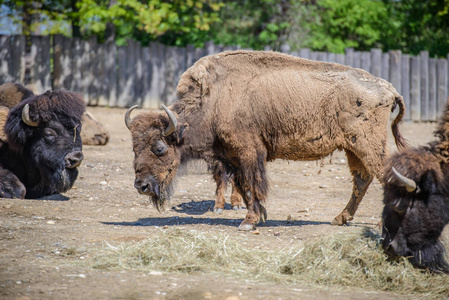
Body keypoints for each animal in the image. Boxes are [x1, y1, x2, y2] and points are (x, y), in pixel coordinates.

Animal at [123, 50, 406, 231]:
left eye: (159, 148)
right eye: (134, 149)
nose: (141, 185)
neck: (215, 99)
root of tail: (388, 88)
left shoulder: (249, 153)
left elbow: (252, 184)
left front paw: (248, 222)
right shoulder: (232, 157)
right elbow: (243, 186)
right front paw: (258, 216)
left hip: (367, 144)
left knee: (382, 175)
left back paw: (380, 225)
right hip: (351, 148)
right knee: (362, 179)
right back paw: (340, 218)